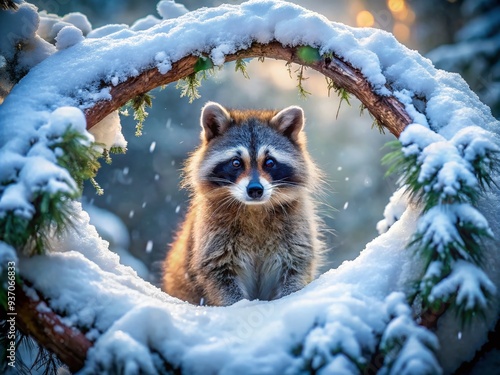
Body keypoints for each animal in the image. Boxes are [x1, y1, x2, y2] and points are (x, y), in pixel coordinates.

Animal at [161, 101, 324, 306]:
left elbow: (296, 269)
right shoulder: (212, 240)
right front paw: (239, 307)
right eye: (236, 163)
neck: (254, 208)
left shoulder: (297, 230)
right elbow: (220, 281)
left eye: (269, 162)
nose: (255, 190)